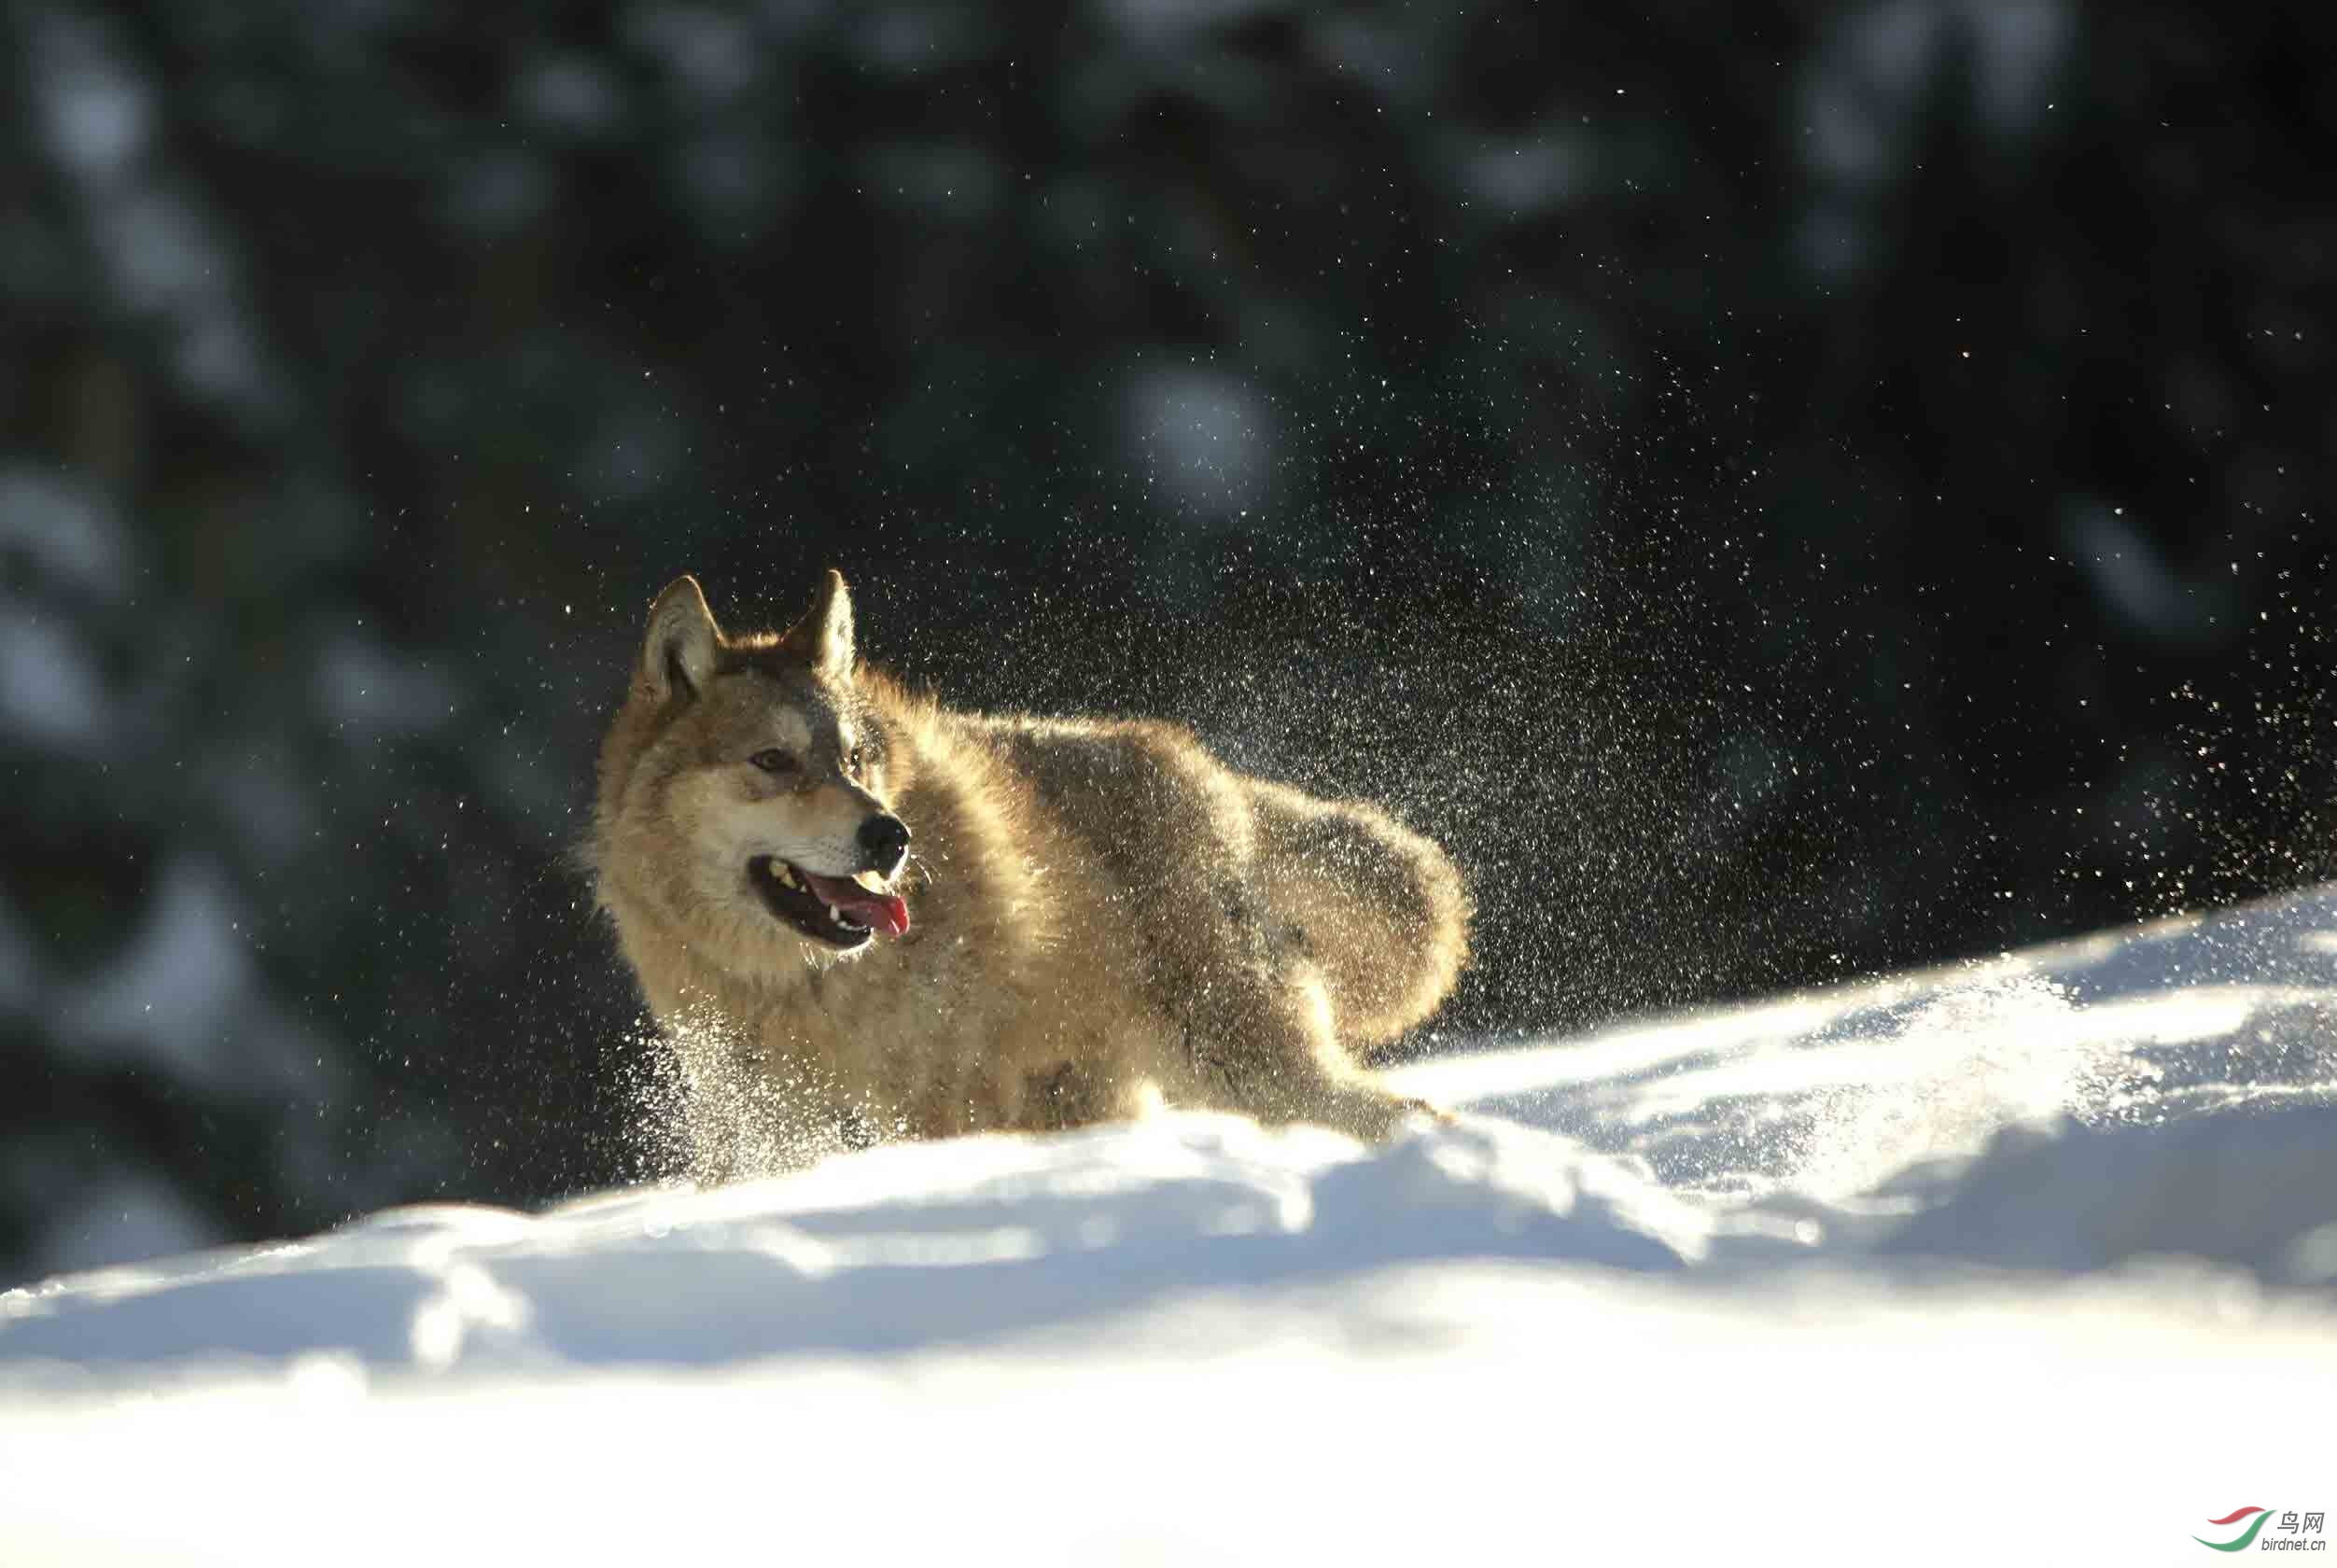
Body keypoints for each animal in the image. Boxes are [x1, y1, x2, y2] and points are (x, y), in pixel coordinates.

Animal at [589, 572, 1458, 1177]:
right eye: (772, 761)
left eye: (856, 758)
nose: (890, 836)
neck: (799, 985)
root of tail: (1210, 775)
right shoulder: (759, 1123)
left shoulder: (934, 1111)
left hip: (1248, 1073)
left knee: (1405, 1108)